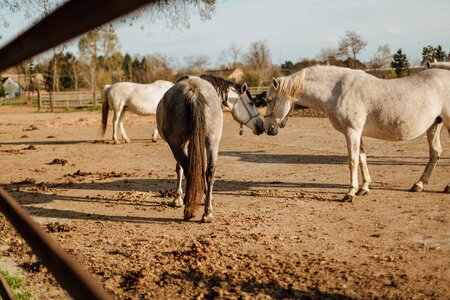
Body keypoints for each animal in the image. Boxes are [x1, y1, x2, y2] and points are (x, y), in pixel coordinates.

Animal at [157, 74, 266, 221]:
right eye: (251, 103)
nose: (261, 126)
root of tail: (193, 91)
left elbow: (181, 168)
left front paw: (179, 199)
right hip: (211, 142)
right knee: (209, 171)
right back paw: (207, 212)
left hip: (179, 144)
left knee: (191, 169)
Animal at [264, 65, 450, 202]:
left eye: (269, 100)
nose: (268, 129)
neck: (336, 91)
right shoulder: (357, 134)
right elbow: (362, 158)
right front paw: (364, 188)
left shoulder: (352, 132)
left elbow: (352, 161)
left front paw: (350, 193)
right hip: (435, 125)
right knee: (435, 153)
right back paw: (419, 185)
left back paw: (446, 187)